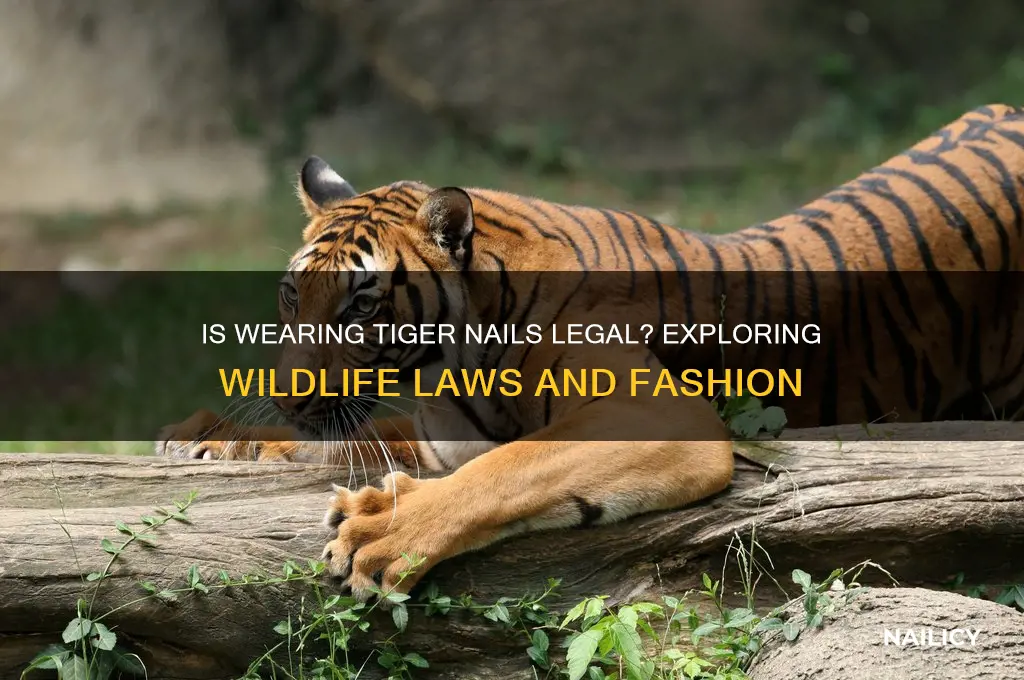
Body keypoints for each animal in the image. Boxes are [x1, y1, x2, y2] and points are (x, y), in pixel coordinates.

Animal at [158, 104, 1024, 601]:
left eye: (362, 304)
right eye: (289, 297)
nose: (285, 393)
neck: (453, 364)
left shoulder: (653, 414)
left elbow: (508, 471)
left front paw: (381, 533)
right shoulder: (435, 436)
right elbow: (362, 438)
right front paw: (213, 435)